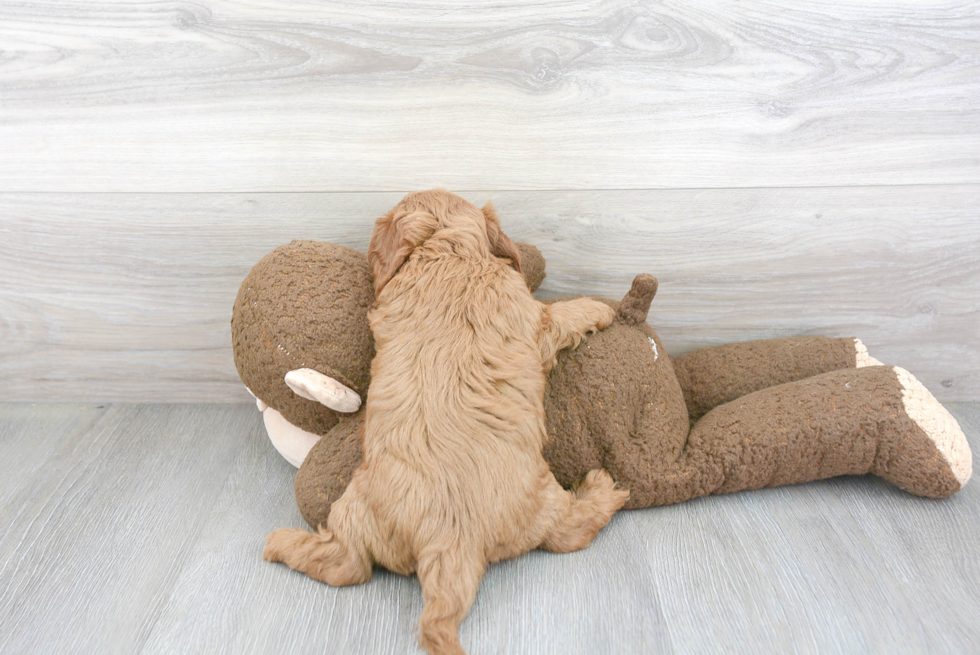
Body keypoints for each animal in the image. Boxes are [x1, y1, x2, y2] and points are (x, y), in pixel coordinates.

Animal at [262, 190, 628, 655]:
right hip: (542, 503)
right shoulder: (533, 319)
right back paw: (602, 489)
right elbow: (559, 315)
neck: (449, 253)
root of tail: (448, 539)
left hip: (355, 508)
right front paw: (596, 307)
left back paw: (281, 544)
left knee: (345, 564)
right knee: (568, 534)